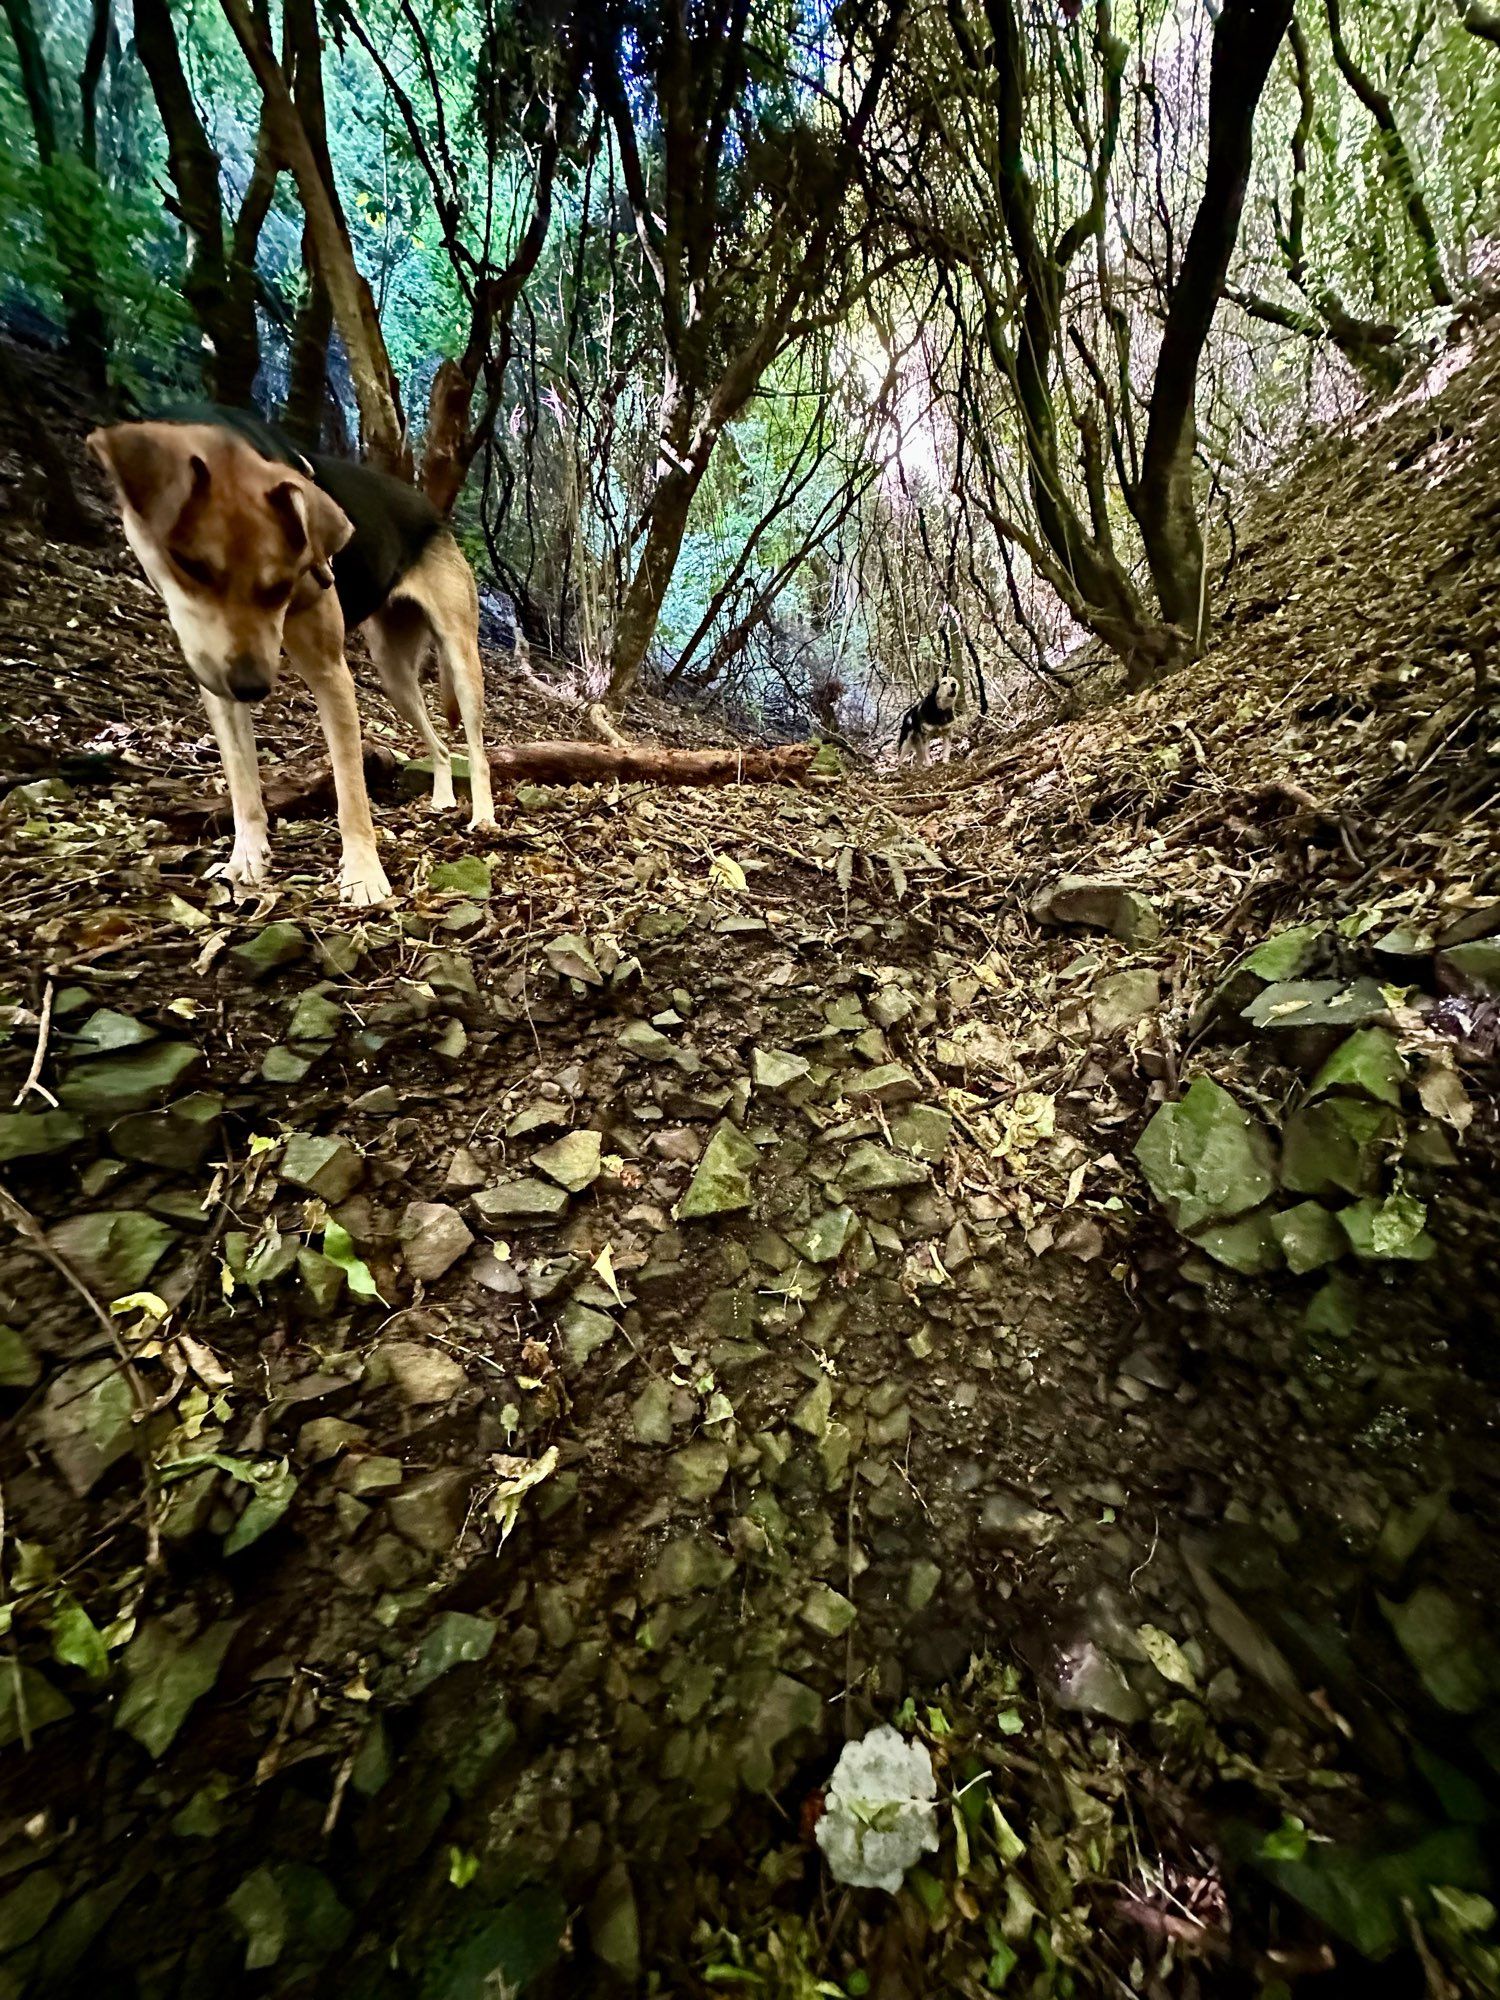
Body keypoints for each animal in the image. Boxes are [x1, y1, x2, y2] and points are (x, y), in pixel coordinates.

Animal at [85, 418, 496, 904]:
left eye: (283, 582)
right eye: (190, 565)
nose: (251, 687)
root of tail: (436, 517)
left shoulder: (330, 672)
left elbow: (350, 789)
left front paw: (364, 875)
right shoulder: (218, 683)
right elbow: (242, 782)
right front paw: (247, 857)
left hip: (460, 656)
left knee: (477, 749)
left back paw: (483, 815)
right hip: (392, 673)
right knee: (441, 744)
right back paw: (443, 796)